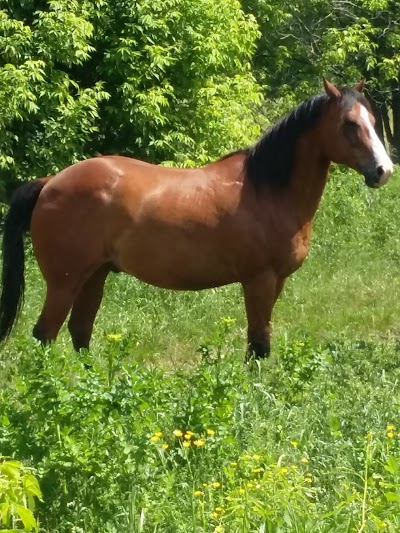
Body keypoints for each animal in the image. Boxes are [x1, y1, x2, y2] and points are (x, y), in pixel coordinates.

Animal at [0, 79, 394, 360]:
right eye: (349, 124)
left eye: (373, 122)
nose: (383, 170)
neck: (267, 189)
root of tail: (51, 182)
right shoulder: (259, 280)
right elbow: (258, 345)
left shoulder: (276, 282)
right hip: (64, 283)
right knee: (45, 334)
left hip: (94, 276)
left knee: (79, 333)